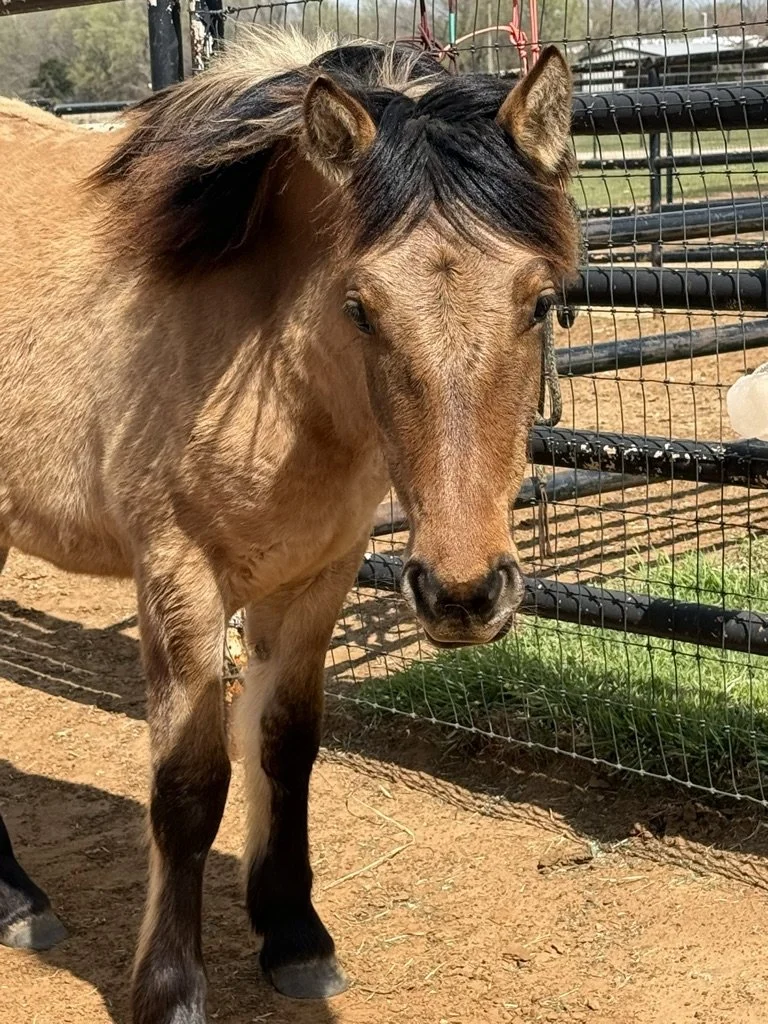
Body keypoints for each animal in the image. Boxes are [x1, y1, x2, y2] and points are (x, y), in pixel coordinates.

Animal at [0, 29, 577, 1024]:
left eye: (540, 301)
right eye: (360, 307)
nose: (465, 594)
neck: (265, 360)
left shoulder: (318, 574)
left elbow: (287, 746)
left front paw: (296, 938)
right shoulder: (180, 579)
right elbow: (188, 786)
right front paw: (171, 989)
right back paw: (18, 903)